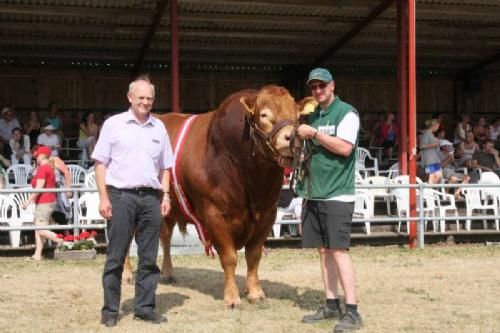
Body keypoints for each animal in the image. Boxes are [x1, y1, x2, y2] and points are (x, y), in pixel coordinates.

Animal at [125, 85, 304, 306]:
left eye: (298, 115)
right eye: (263, 114)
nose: (292, 138)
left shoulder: (267, 214)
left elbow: (253, 256)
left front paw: (255, 292)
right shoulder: (215, 215)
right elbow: (229, 257)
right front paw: (232, 297)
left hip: (169, 206)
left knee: (165, 236)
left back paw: (167, 272)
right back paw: (127, 275)